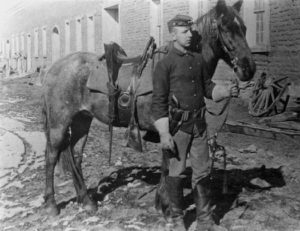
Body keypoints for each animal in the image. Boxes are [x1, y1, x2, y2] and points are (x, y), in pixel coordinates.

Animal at [42, 0, 255, 217]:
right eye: (226, 28)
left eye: (245, 28)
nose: (248, 68)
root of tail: (54, 68)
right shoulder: (168, 128)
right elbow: (168, 164)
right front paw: (164, 204)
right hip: (59, 123)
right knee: (51, 156)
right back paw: (51, 204)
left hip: (82, 119)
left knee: (75, 155)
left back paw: (86, 201)